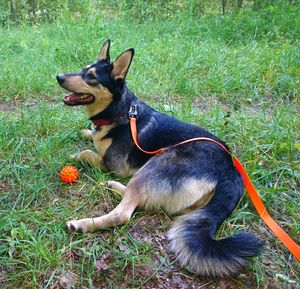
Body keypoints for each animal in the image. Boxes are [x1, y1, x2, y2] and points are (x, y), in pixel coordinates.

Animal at [56, 39, 262, 276]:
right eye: (83, 69)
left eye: (91, 76)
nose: (58, 76)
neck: (120, 111)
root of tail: (230, 171)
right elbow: (91, 137)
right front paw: (87, 132)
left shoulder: (113, 165)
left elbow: (87, 152)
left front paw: (75, 153)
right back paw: (111, 186)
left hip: (159, 161)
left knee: (124, 213)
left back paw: (83, 223)